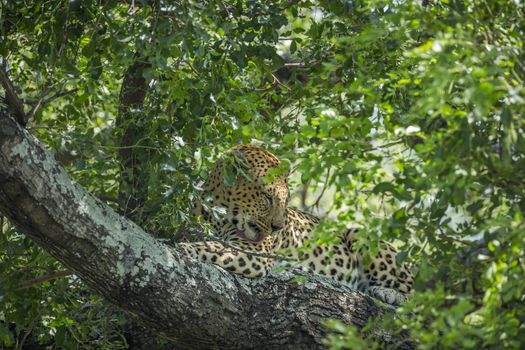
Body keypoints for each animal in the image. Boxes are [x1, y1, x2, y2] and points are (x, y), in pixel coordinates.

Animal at [180, 144, 414, 304]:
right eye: (266, 197)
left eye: (286, 200)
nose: (277, 227)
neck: (219, 213)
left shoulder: (254, 252)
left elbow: (210, 247)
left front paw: (183, 249)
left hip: (360, 235)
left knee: (414, 294)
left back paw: (388, 293)